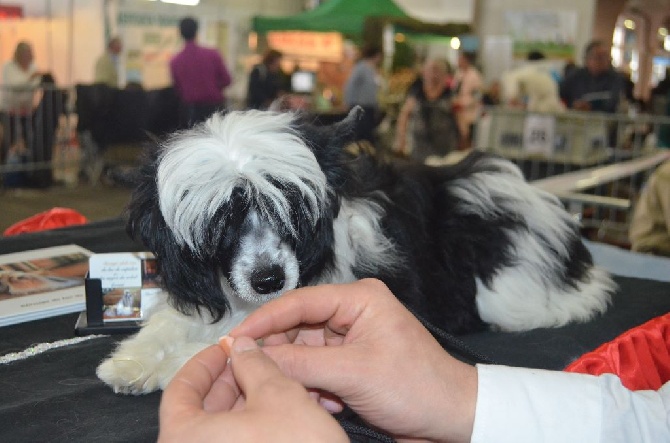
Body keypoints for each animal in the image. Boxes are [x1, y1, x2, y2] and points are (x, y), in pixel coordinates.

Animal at [97, 107, 616, 396]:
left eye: (290, 206)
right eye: (221, 222)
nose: (269, 280)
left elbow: (229, 343)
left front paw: (175, 364)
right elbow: (170, 323)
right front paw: (133, 359)